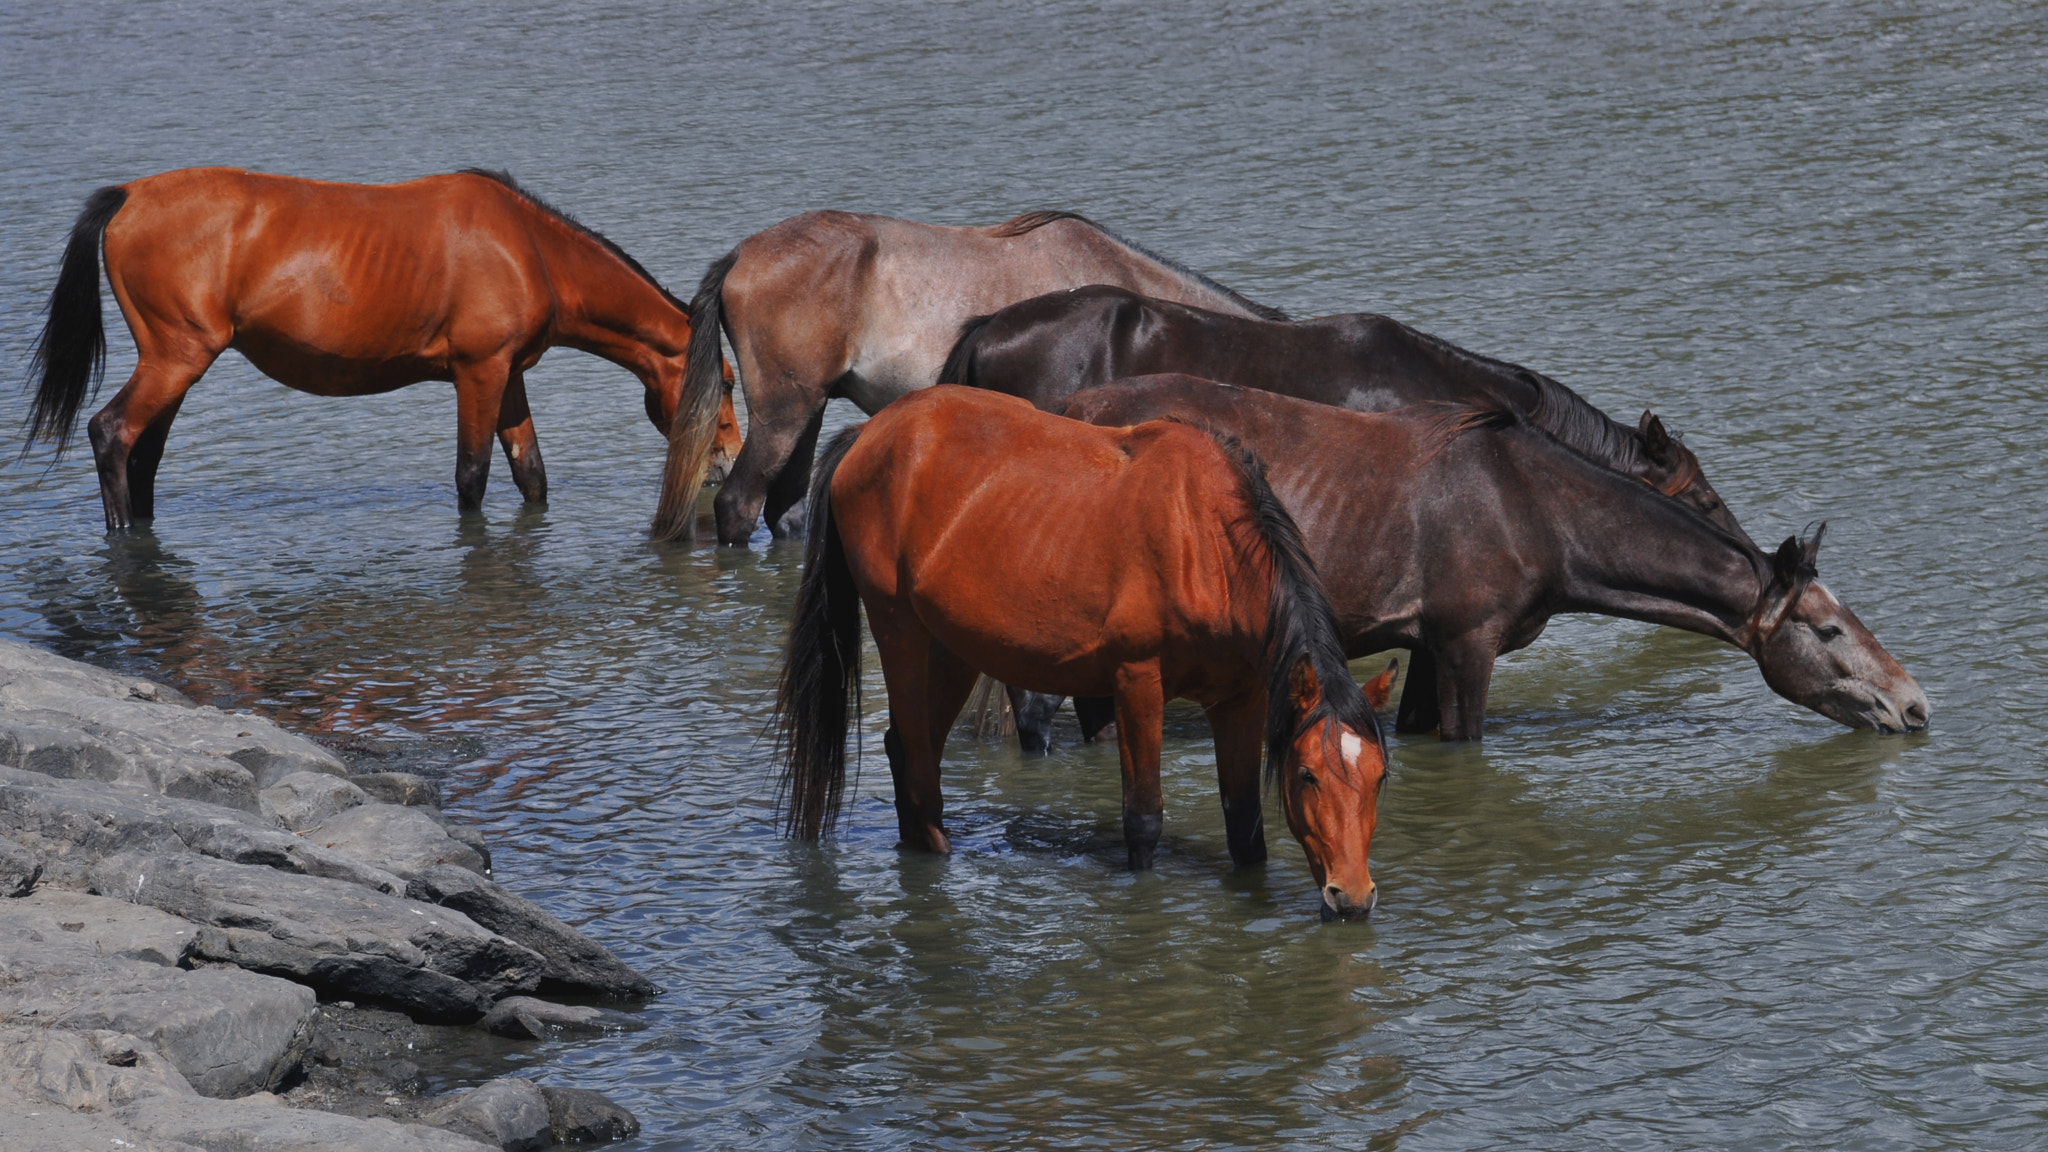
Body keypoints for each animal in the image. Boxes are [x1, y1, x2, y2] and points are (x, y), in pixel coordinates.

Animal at [23, 167, 742, 532]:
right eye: (730, 383)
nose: (726, 461)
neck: (529, 246)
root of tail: (129, 196)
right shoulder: (478, 374)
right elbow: (472, 477)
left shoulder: (508, 376)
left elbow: (531, 475)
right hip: (177, 357)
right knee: (111, 433)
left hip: (176, 364)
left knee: (142, 456)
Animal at [775, 385, 1398, 919]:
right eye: (1308, 774)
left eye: (1380, 777)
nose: (1351, 896)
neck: (1207, 544)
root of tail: (869, 432)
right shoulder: (1137, 683)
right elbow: (1143, 819)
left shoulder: (1239, 701)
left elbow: (1245, 826)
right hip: (900, 632)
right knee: (920, 765)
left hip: (950, 649)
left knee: (907, 747)